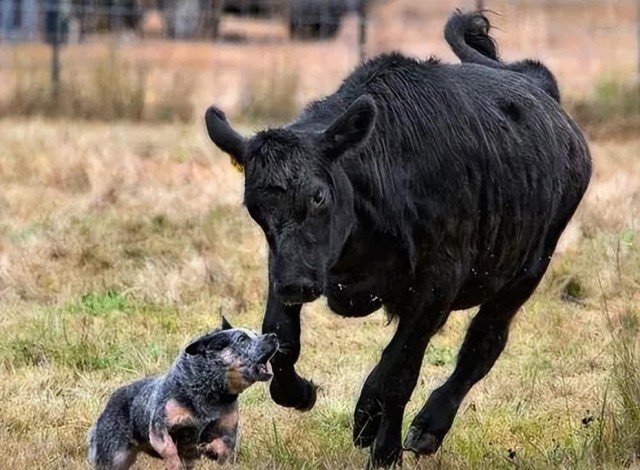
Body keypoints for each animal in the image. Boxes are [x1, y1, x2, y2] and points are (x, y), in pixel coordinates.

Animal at [86, 318, 278, 468]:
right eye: (242, 338)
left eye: (256, 333)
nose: (273, 336)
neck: (212, 395)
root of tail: (110, 401)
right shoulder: (160, 428)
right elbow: (170, 449)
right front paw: (175, 463)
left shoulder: (228, 431)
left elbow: (223, 446)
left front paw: (210, 450)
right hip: (113, 455)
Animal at [204, 10, 592, 466]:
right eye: (254, 207)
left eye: (318, 195)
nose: (296, 285)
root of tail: (532, 80)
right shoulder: (285, 266)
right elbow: (282, 339)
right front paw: (299, 392)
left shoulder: (437, 283)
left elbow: (397, 370)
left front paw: (376, 434)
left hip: (524, 274)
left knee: (480, 347)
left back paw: (423, 428)